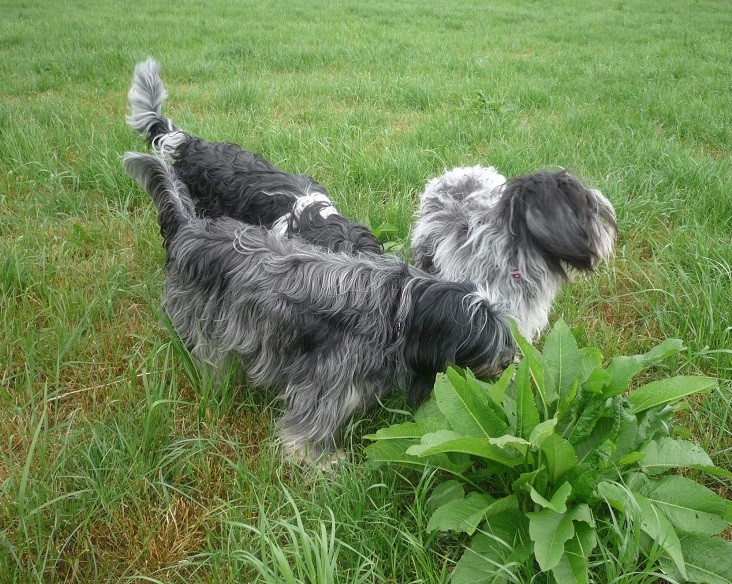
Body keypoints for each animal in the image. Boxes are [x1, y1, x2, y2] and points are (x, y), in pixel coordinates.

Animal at [124, 152, 516, 460]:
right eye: (487, 338)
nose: (510, 360)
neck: (399, 310)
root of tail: (190, 230)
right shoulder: (327, 380)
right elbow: (311, 424)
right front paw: (320, 462)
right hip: (205, 324)